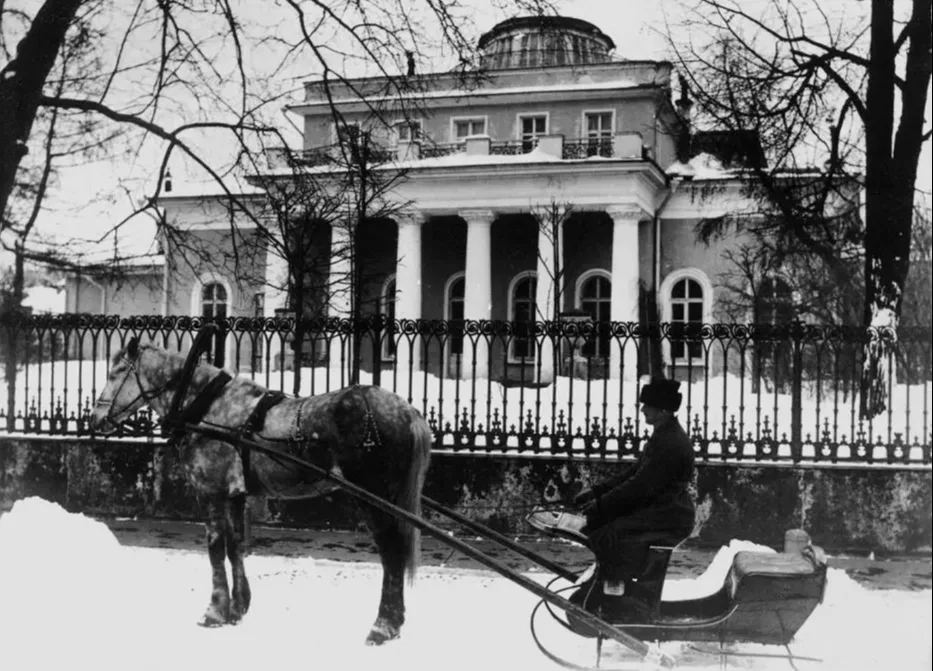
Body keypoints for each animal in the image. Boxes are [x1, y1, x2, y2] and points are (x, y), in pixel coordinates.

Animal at [88, 337, 432, 645]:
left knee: (392, 553)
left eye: (116, 372)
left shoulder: (212, 493)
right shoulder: (236, 495)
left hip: (374, 500)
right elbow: (235, 547)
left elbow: (215, 548)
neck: (207, 407)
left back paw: (383, 625)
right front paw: (238, 607)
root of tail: (408, 411)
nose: (95, 419)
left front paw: (215, 611)